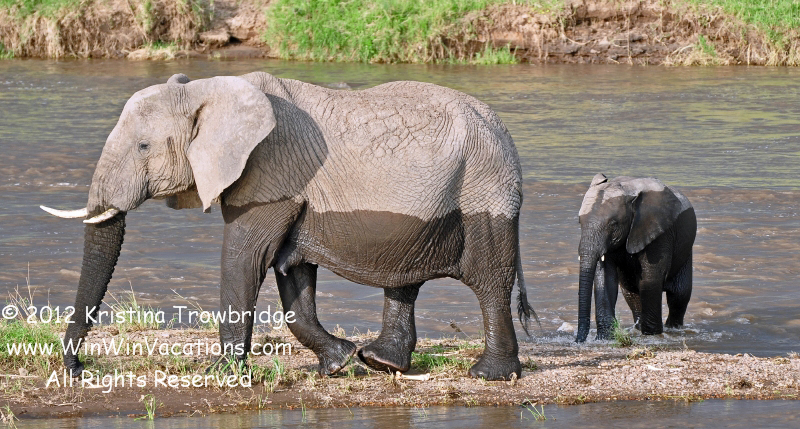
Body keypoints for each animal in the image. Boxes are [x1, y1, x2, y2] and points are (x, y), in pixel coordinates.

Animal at [41, 71, 537, 381]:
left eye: (144, 146)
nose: (78, 368)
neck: (208, 88)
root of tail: (508, 136)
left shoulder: (270, 171)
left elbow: (246, 257)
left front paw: (221, 375)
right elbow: (290, 269)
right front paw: (338, 363)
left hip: (484, 187)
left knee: (489, 278)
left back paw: (489, 375)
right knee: (405, 279)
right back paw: (381, 362)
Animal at [575, 174, 696, 342]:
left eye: (613, 224)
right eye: (579, 222)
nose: (578, 341)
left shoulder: (659, 233)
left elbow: (651, 278)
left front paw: (652, 335)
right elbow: (605, 278)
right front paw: (604, 338)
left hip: (685, 249)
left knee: (679, 295)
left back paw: (673, 329)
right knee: (631, 294)